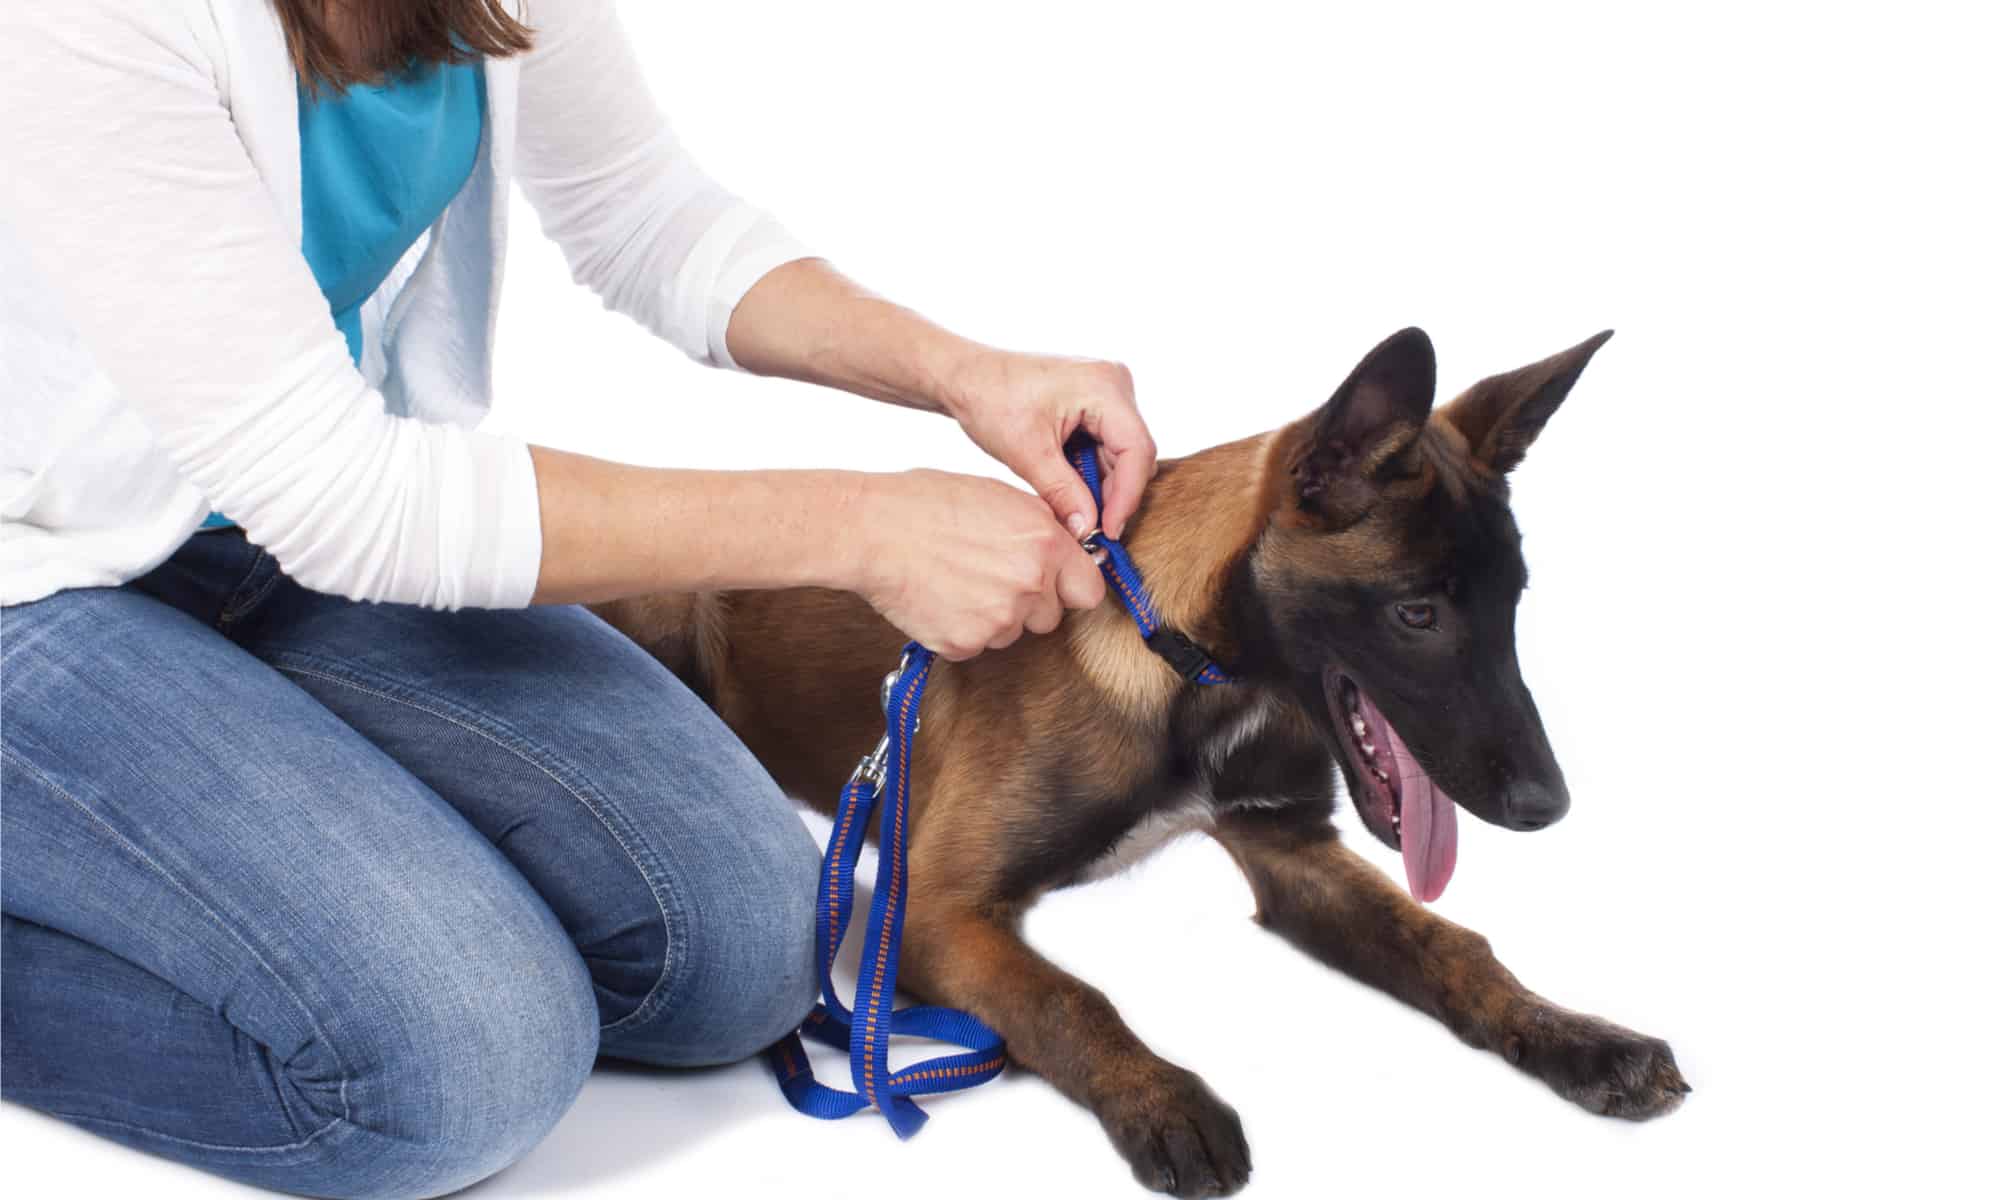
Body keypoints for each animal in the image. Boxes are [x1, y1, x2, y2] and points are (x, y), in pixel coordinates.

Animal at [588, 330, 1688, 1200]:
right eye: (1416, 612)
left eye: (1513, 601)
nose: (1548, 805)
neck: (1196, 670)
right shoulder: (932, 908)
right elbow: (1067, 997)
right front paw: (1161, 1099)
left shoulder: (1289, 849)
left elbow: (1452, 944)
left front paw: (1578, 1037)